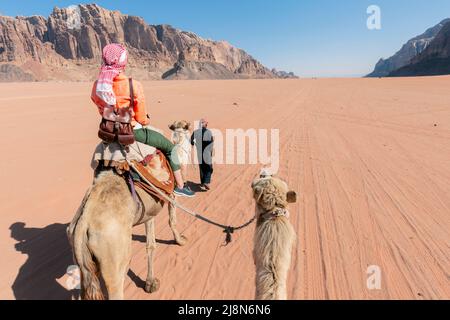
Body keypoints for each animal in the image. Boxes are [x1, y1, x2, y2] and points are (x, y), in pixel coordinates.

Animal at [66, 170, 186, 300]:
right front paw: (180, 241)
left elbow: (150, 244)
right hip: (114, 257)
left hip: (83, 259)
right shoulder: (171, 192)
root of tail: (83, 221)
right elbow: (172, 220)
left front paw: (150, 283)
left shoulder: (149, 212)